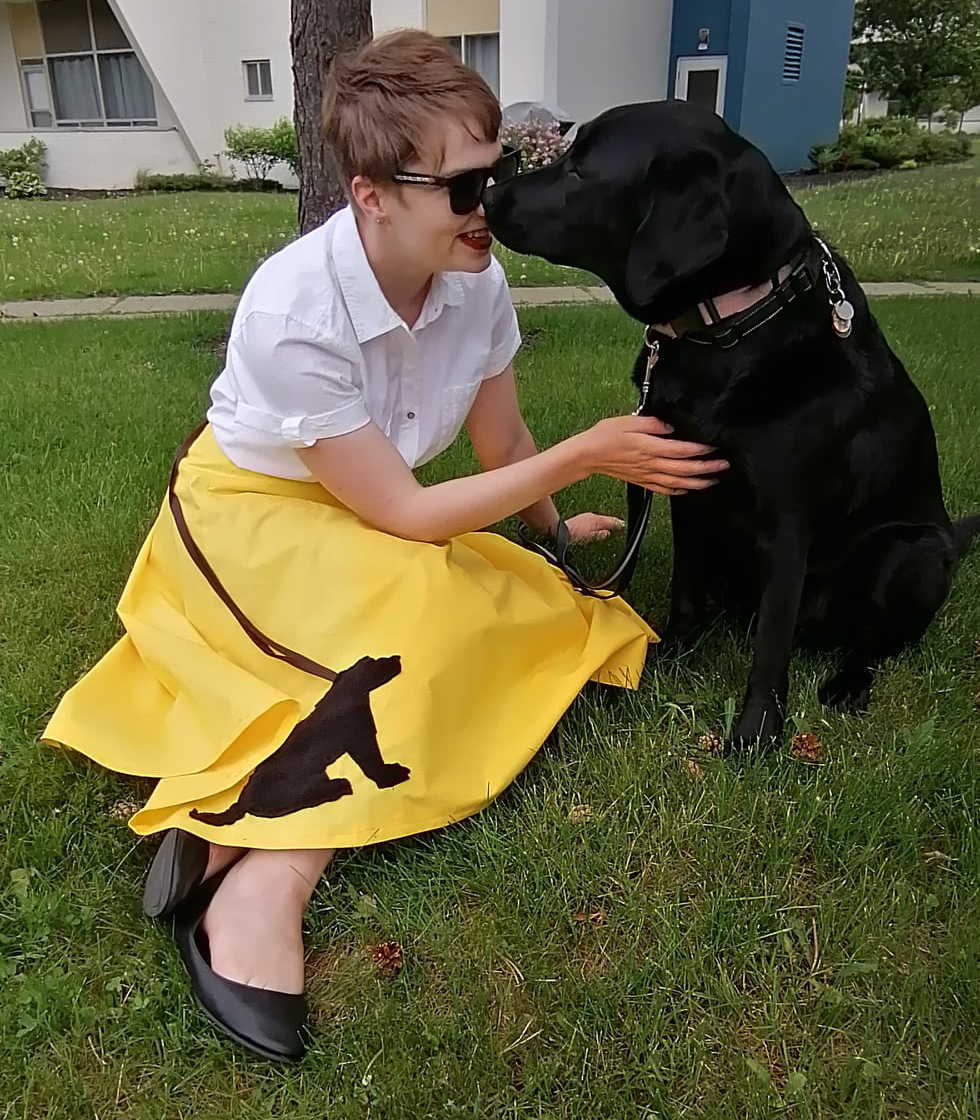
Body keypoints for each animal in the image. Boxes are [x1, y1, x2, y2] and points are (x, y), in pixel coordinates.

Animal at [483, 103, 980, 752]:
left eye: (581, 171)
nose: (486, 195)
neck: (729, 324)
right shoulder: (688, 489)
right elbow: (687, 592)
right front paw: (665, 659)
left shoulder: (789, 521)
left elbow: (771, 644)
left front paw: (756, 736)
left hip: (910, 553)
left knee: (871, 644)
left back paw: (848, 685)